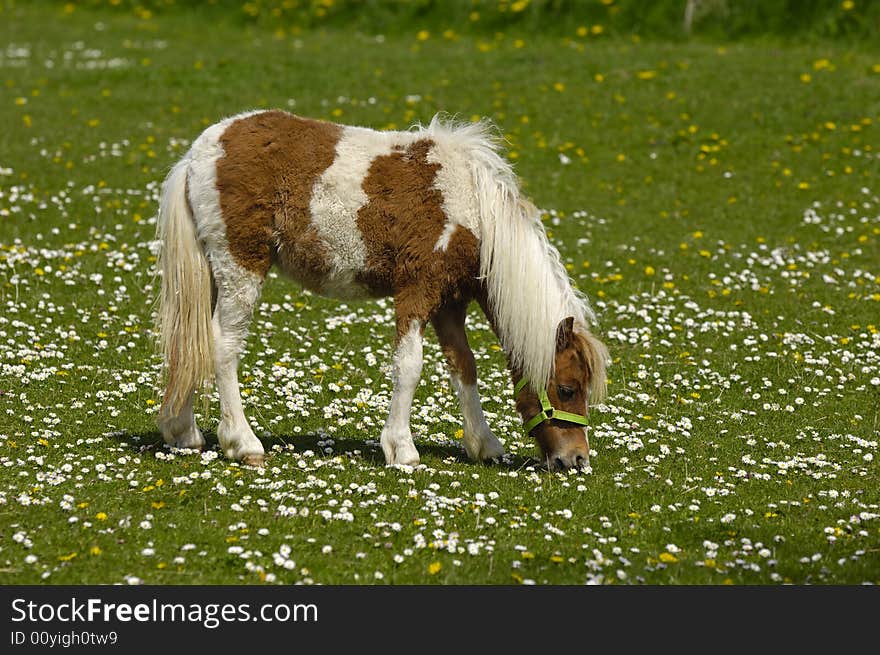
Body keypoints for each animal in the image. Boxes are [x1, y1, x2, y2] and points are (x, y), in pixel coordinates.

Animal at [155, 111, 608, 472]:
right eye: (567, 389)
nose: (575, 459)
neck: (473, 210)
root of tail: (198, 155)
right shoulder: (417, 291)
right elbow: (409, 366)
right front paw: (401, 449)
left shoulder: (450, 303)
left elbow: (464, 367)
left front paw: (484, 445)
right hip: (241, 267)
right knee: (221, 345)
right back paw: (242, 443)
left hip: (215, 273)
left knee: (191, 340)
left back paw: (182, 432)